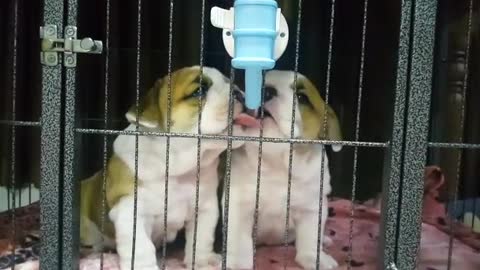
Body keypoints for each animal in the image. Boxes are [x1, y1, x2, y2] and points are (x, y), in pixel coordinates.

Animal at [80, 66, 246, 270]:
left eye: (230, 82)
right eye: (199, 91)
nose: (238, 93)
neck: (178, 168)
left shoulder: (205, 207)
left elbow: (202, 236)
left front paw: (203, 261)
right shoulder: (130, 209)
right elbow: (140, 246)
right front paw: (143, 266)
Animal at [226, 70, 342, 270]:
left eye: (302, 97)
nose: (266, 90)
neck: (276, 162)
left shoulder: (312, 207)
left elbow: (311, 237)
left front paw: (315, 257)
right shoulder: (239, 206)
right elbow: (240, 241)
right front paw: (239, 262)